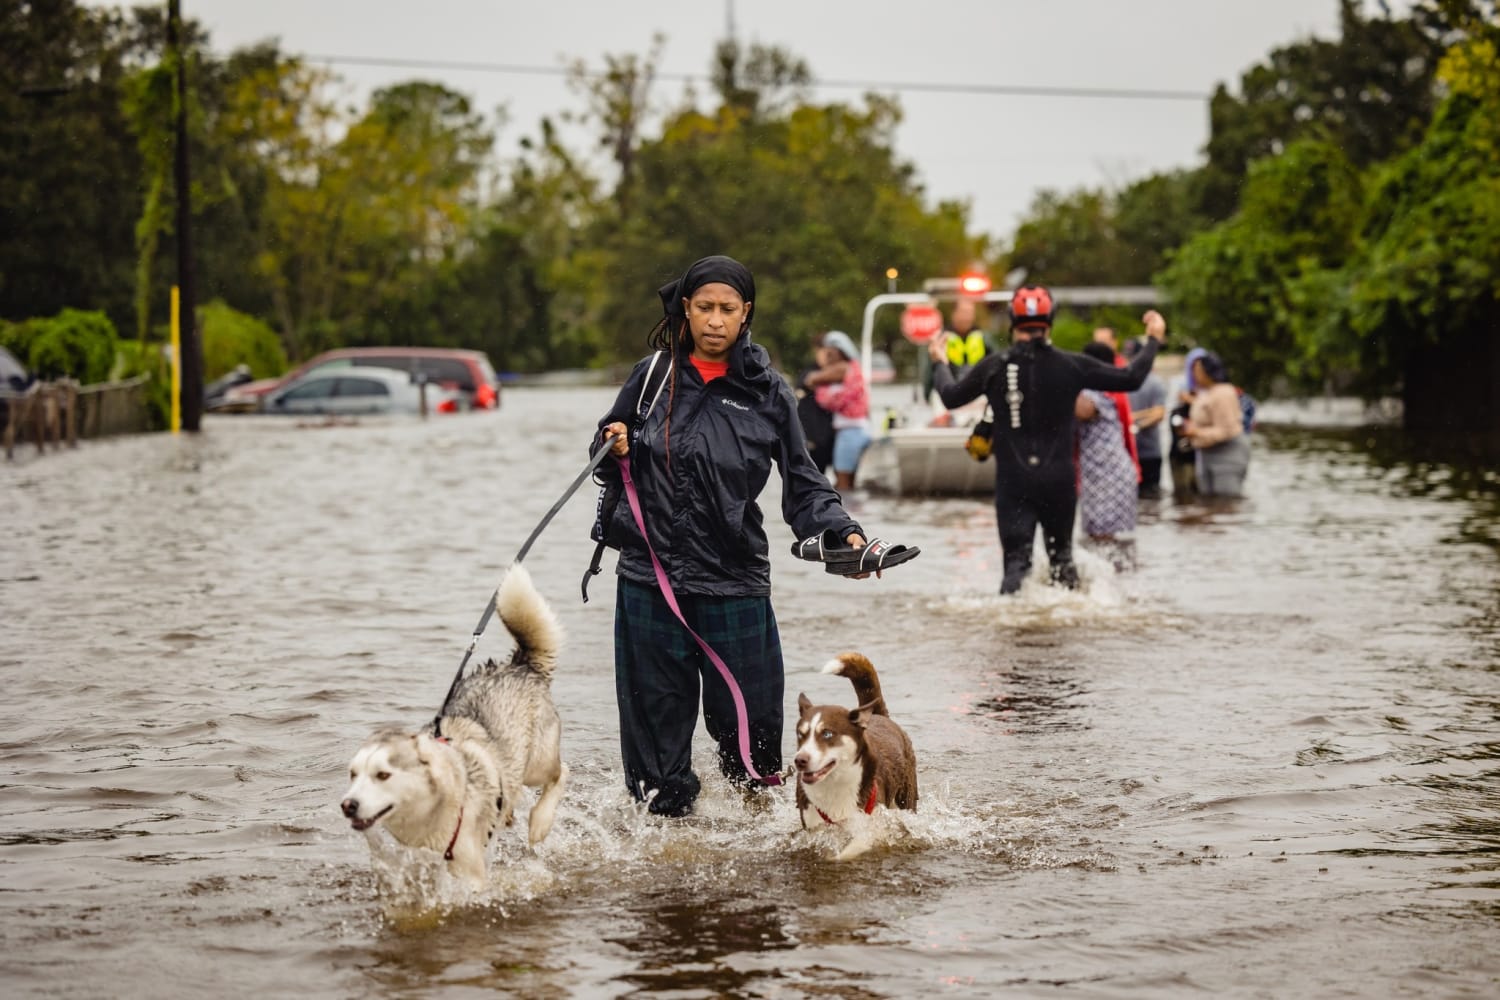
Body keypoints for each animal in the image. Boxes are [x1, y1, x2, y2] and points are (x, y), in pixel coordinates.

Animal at [798, 653, 912, 857]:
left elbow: (852, 848)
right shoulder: (813, 827)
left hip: (906, 798)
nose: (799, 760)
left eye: (827, 733)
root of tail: (877, 715)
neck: (834, 784)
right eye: (800, 734)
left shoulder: (869, 822)